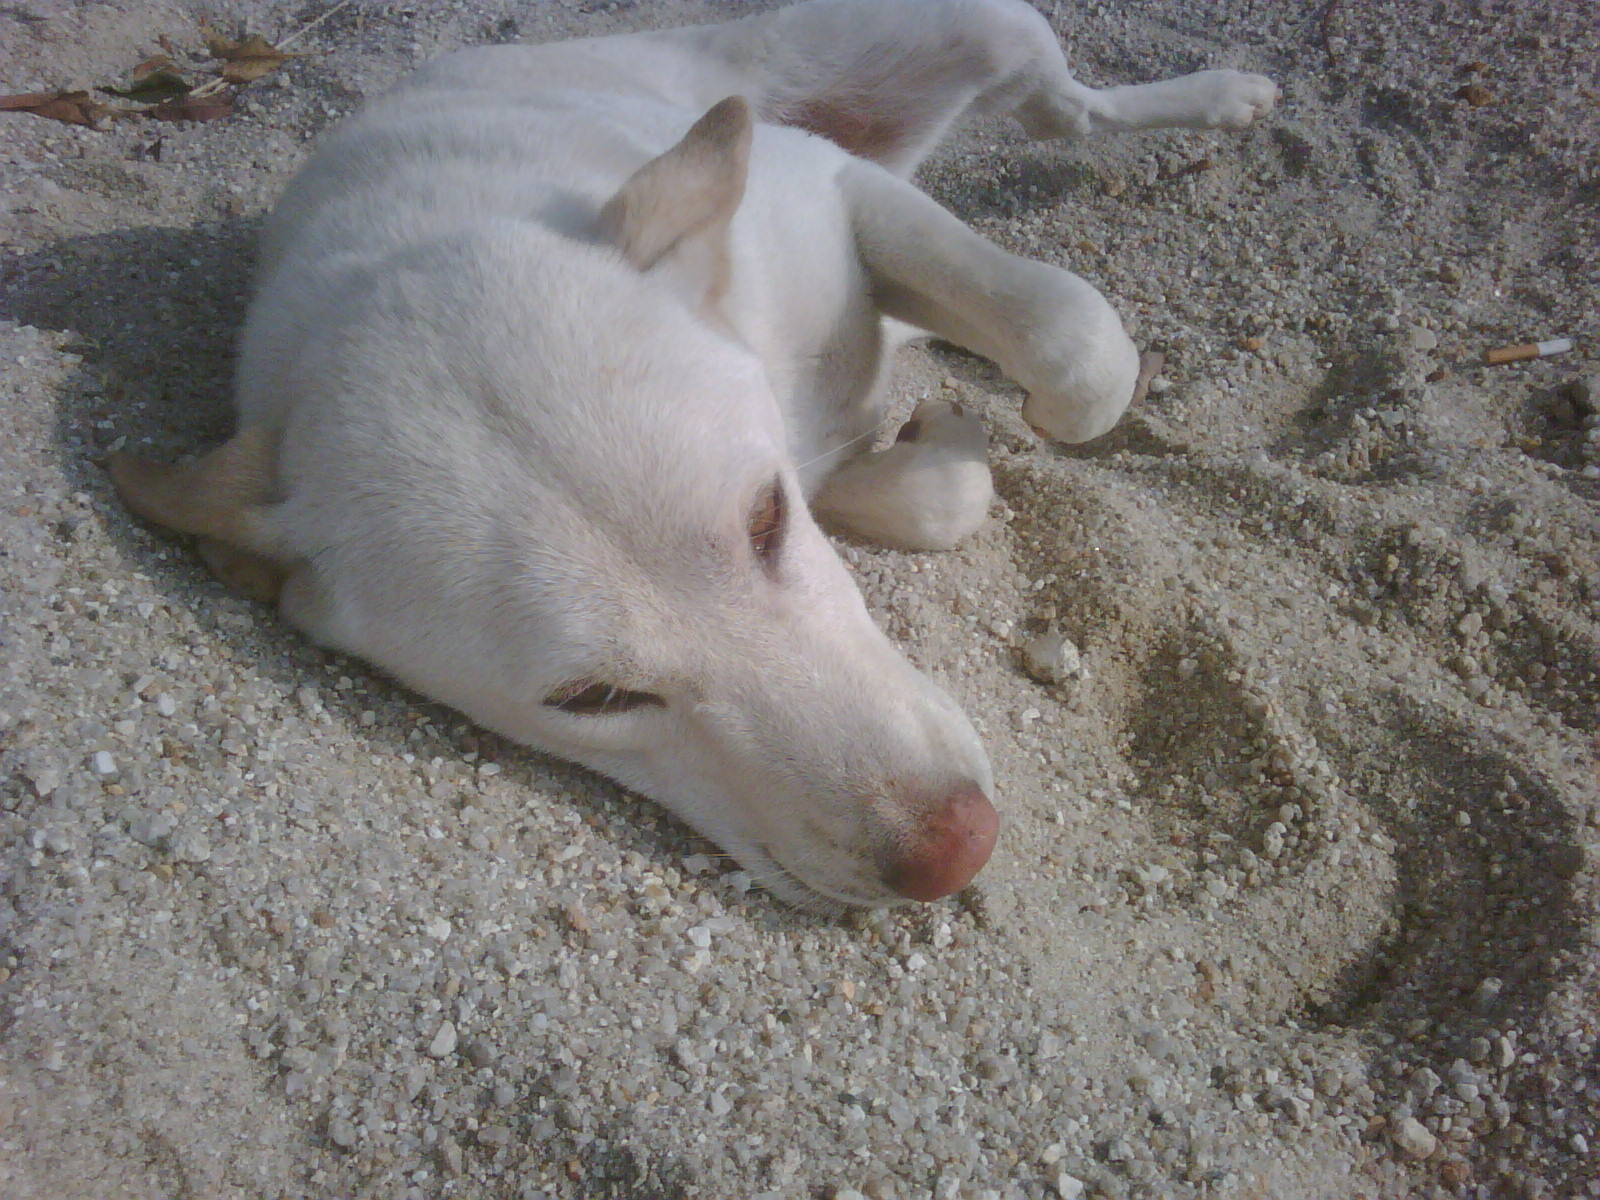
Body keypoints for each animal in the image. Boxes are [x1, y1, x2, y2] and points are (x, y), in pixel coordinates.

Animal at [111, 0, 1275, 910]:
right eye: (592, 700)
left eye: (765, 521)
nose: (953, 851)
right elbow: (941, 488)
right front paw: (928, 446)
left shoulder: (842, 195)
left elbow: (1077, 348)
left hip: (952, 36)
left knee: (1065, 106)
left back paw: (1229, 95)